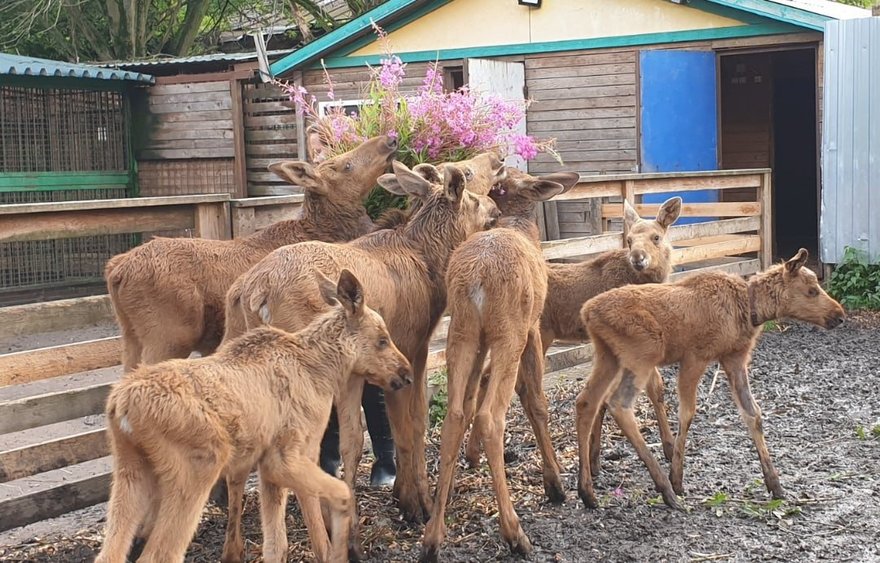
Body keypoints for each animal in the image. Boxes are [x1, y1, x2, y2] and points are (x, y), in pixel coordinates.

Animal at [96, 270, 412, 560]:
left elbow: (275, 544)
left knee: (111, 552)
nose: (406, 373)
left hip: (131, 472)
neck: (322, 372)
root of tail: (122, 409)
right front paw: (342, 549)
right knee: (161, 553)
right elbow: (334, 500)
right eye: (383, 340)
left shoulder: (267, 464)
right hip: (197, 469)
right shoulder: (292, 453)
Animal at [576, 250, 844, 512]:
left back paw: (587, 491)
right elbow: (687, 413)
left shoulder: (735, 358)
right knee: (618, 404)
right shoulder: (695, 357)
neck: (749, 311)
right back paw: (665, 489)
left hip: (608, 356)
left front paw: (775, 483)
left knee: (587, 401)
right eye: (812, 290)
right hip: (643, 353)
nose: (839, 315)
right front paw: (677, 478)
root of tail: (587, 311)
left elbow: (753, 413)